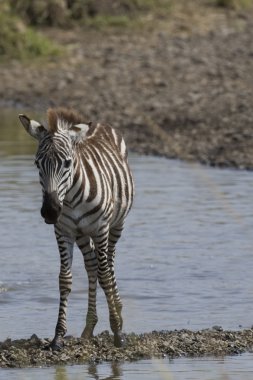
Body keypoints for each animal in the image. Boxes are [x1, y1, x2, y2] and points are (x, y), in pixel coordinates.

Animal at [18, 107, 134, 350]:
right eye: (37, 164)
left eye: (67, 163)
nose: (51, 211)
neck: (70, 198)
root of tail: (98, 123)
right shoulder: (63, 231)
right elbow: (65, 279)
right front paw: (58, 337)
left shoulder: (100, 228)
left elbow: (105, 276)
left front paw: (118, 333)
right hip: (82, 233)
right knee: (92, 267)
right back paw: (89, 327)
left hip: (116, 225)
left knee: (108, 265)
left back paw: (118, 312)